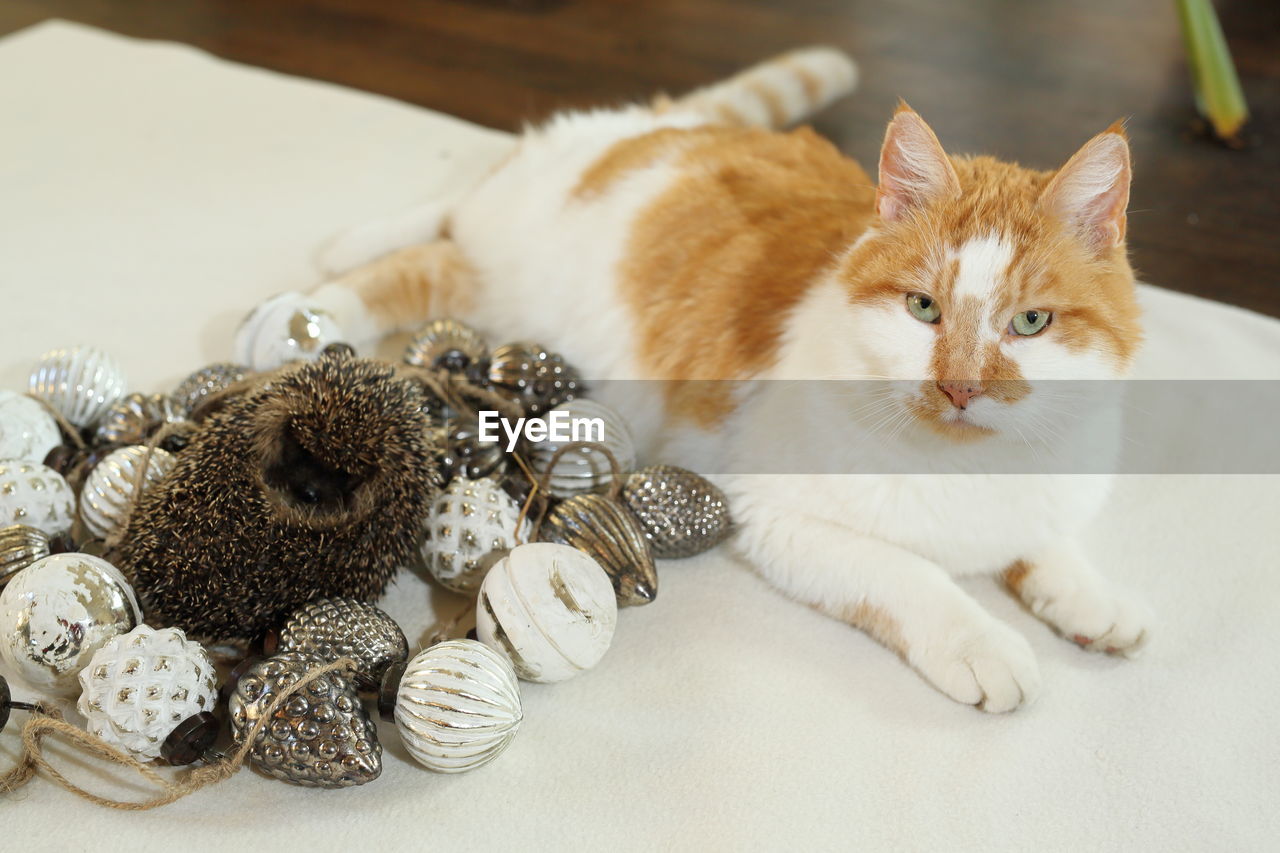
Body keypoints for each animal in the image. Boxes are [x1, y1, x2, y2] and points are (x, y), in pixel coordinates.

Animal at [296, 48, 1152, 712]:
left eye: (1030, 323)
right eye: (923, 308)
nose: (961, 388)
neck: (968, 462)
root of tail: (664, 124)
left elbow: (1046, 538)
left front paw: (1089, 596)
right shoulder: (777, 511)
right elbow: (908, 573)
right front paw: (982, 641)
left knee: (447, 232)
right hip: (509, 260)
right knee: (435, 237)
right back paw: (315, 297)